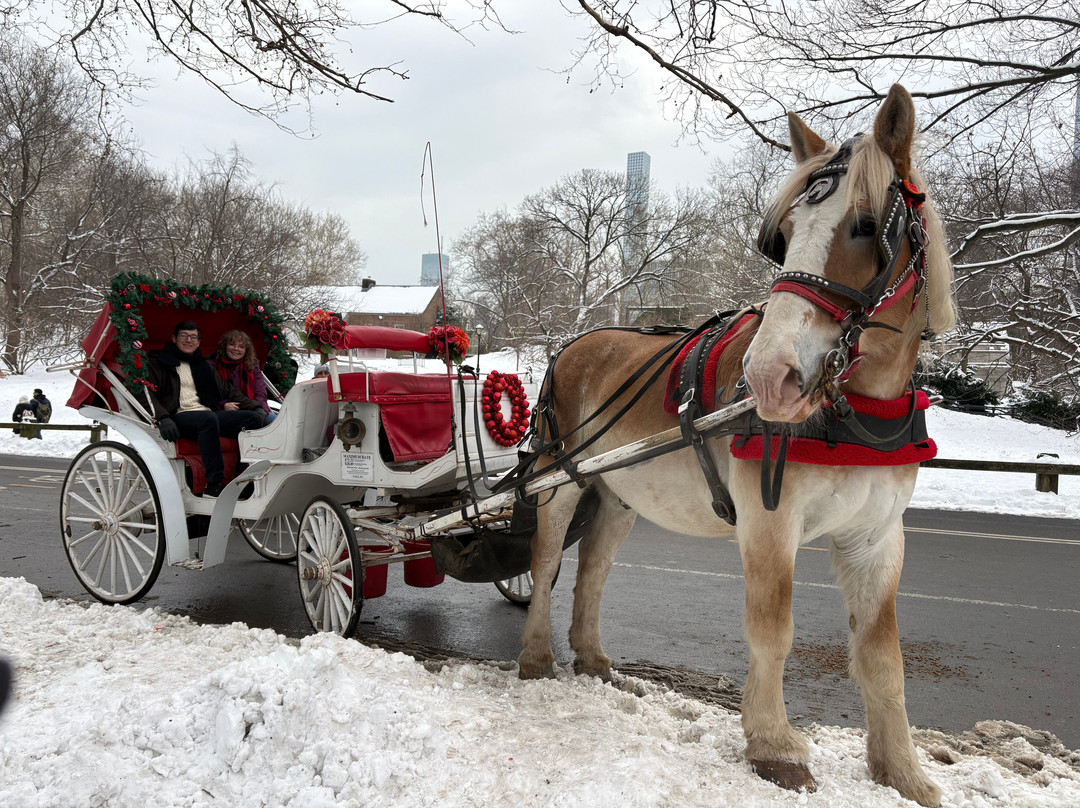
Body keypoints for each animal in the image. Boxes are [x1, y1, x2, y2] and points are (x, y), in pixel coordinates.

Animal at [515, 84, 955, 808]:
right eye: (784, 237)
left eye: (867, 226)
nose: (770, 376)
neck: (855, 411)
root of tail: (574, 343)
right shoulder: (769, 523)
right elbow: (773, 632)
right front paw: (774, 746)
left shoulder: (877, 536)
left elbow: (881, 655)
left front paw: (903, 772)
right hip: (561, 478)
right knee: (547, 559)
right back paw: (533, 657)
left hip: (618, 492)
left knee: (595, 570)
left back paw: (595, 659)